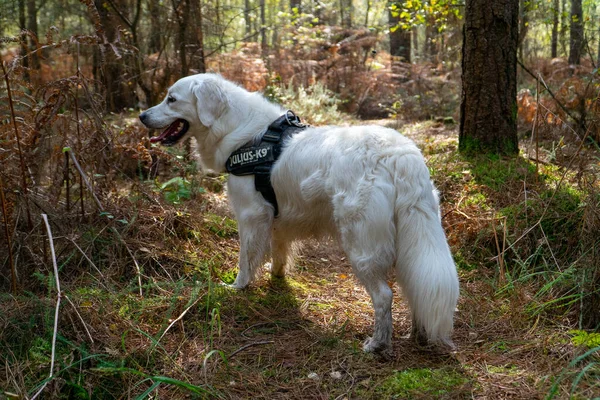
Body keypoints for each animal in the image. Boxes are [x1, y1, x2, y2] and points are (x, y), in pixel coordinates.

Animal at [141, 72, 460, 354]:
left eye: (171, 99)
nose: (142, 116)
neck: (239, 131)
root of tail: (398, 154)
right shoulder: (276, 218)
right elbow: (278, 252)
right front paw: (277, 279)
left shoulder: (251, 215)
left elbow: (245, 259)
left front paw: (238, 287)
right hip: (413, 235)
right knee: (415, 286)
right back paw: (417, 334)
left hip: (361, 244)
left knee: (384, 296)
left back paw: (378, 344)